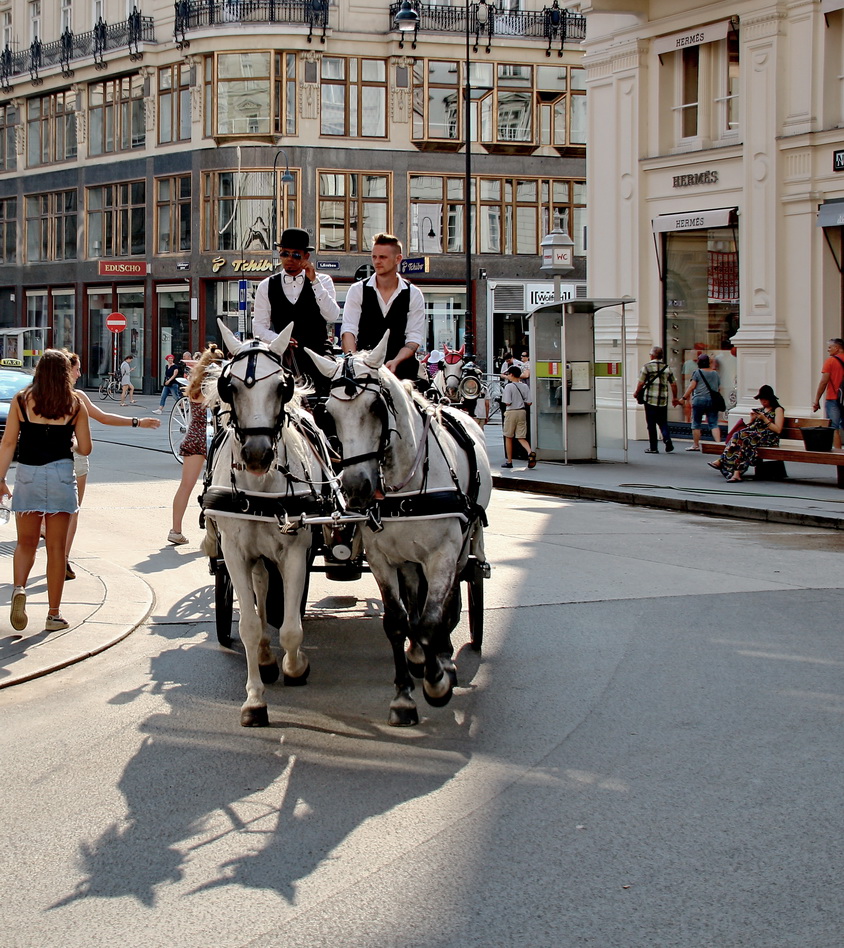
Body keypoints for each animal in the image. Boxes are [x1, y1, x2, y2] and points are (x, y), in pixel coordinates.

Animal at [204, 318, 336, 724]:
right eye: (228, 387)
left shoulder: (295, 550)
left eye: (282, 385)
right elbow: (248, 624)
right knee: (261, 592)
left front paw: (296, 667)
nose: (257, 454)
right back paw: (263, 655)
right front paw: (255, 699)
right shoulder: (234, 553)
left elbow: (291, 627)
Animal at [306, 336, 492, 728]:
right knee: (414, 600)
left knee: (451, 596)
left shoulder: (442, 555)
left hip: (462, 545)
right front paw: (404, 696)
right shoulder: (382, 559)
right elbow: (397, 620)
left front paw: (437, 681)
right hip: (409, 559)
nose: (356, 487)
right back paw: (420, 654)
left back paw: (444, 656)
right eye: (328, 413)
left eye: (377, 406)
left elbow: (433, 618)